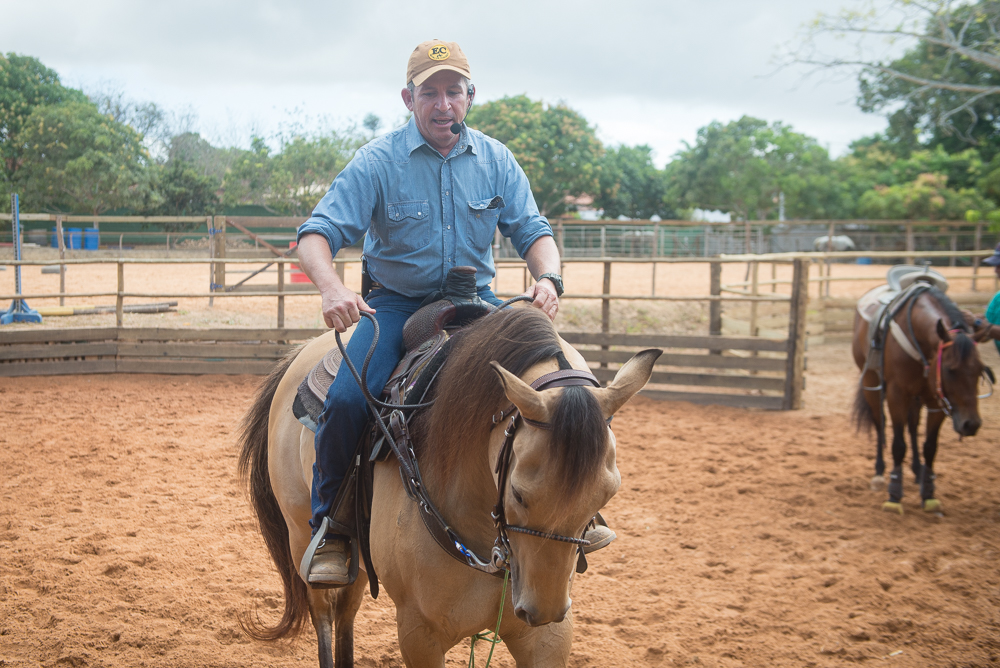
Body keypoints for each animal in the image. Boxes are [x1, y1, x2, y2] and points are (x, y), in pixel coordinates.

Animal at [237, 306, 660, 668]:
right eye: (518, 493)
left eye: (607, 494)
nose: (542, 610)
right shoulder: (419, 633)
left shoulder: (548, 638)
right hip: (299, 536)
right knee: (324, 611)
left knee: (346, 611)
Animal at [852, 274, 992, 516]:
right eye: (950, 370)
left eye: (979, 371)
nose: (971, 424)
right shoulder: (897, 394)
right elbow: (898, 445)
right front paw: (894, 497)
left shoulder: (938, 400)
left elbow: (930, 447)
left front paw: (929, 494)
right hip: (871, 381)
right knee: (880, 423)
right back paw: (879, 472)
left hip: (916, 398)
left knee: (912, 425)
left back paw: (918, 471)